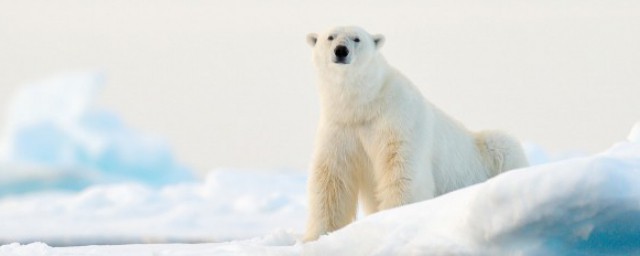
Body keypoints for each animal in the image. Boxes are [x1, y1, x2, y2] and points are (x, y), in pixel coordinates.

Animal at [302, 27, 528, 241]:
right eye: (330, 37)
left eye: (357, 38)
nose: (341, 50)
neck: (365, 104)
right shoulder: (340, 128)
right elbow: (332, 178)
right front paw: (315, 236)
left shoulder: (398, 118)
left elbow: (401, 169)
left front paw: (395, 217)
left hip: (488, 152)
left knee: (503, 146)